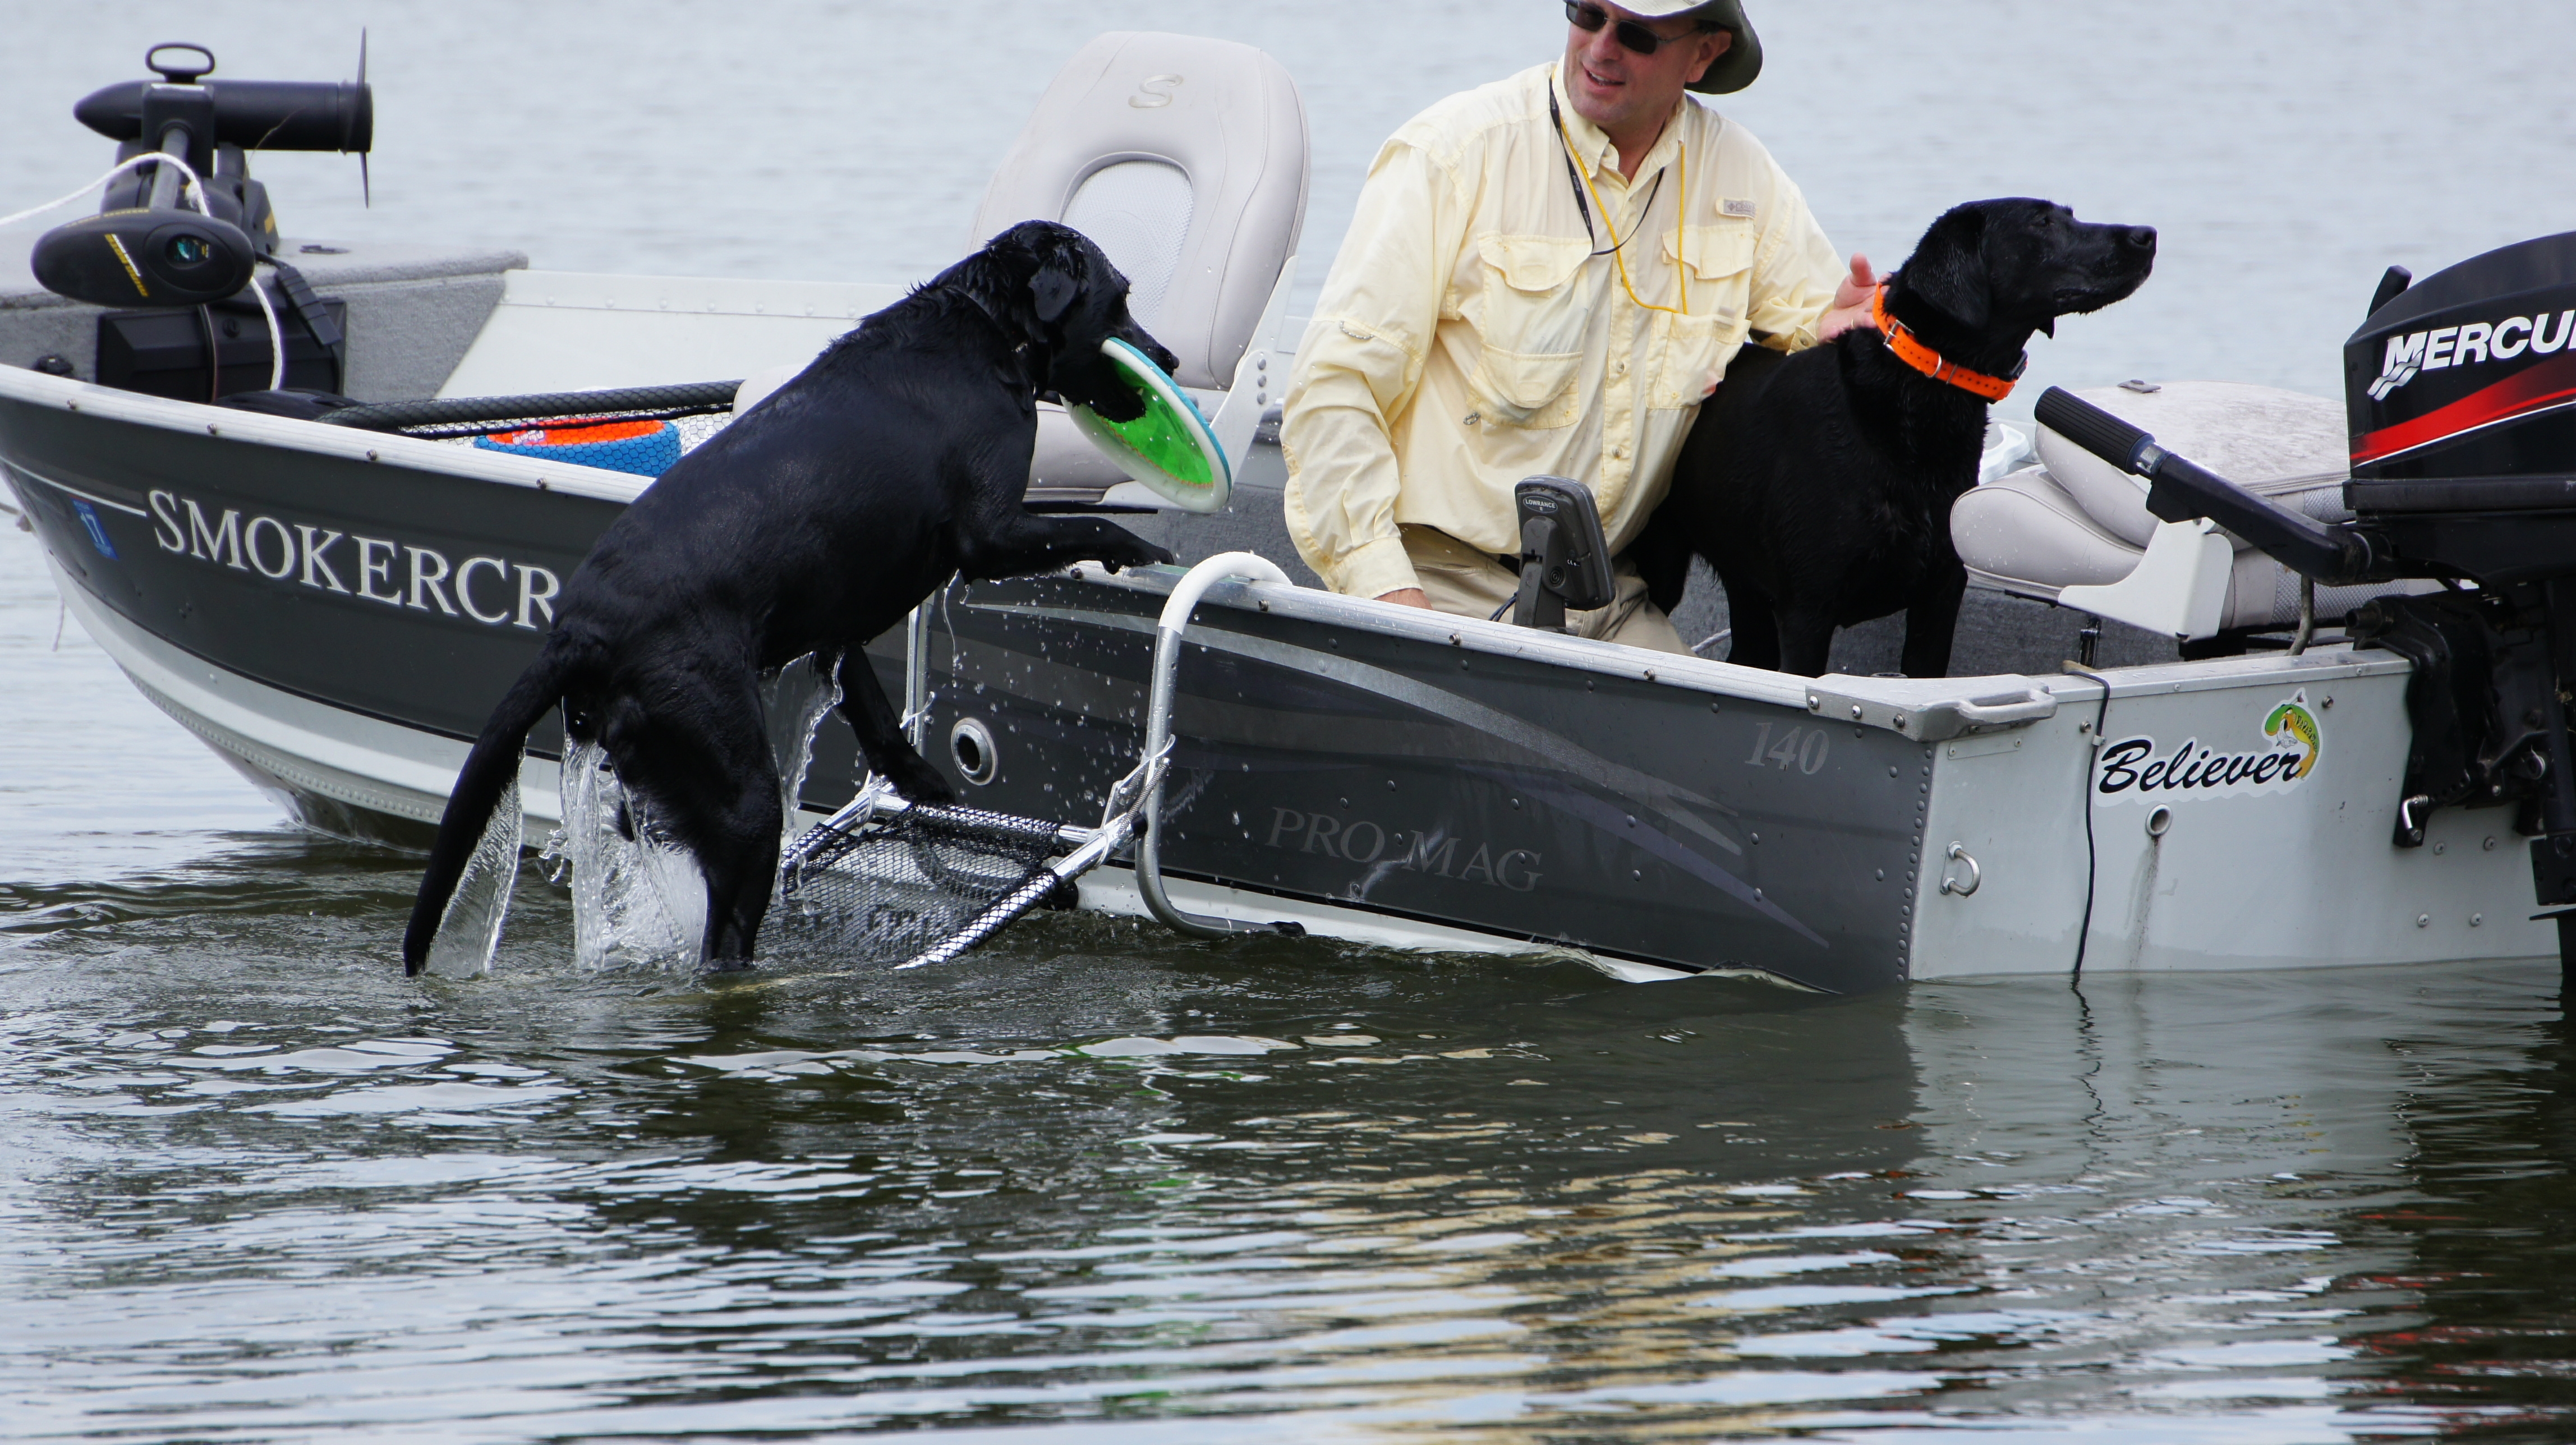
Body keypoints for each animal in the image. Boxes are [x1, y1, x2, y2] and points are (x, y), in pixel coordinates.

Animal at [402, 220, 1180, 973]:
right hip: (742, 790)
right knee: (724, 932)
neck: (989, 325)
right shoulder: (989, 532)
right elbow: (1085, 524)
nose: (1169, 360)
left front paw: (924, 782)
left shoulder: (838, 617)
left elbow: (873, 709)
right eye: (1120, 300)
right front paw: (1139, 548)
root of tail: (580, 628)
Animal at [1638, 197, 2164, 675]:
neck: (1920, 398)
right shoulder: (1806, 612)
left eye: (2068, 215)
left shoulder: (1940, 597)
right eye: (2042, 222)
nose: (2147, 234)